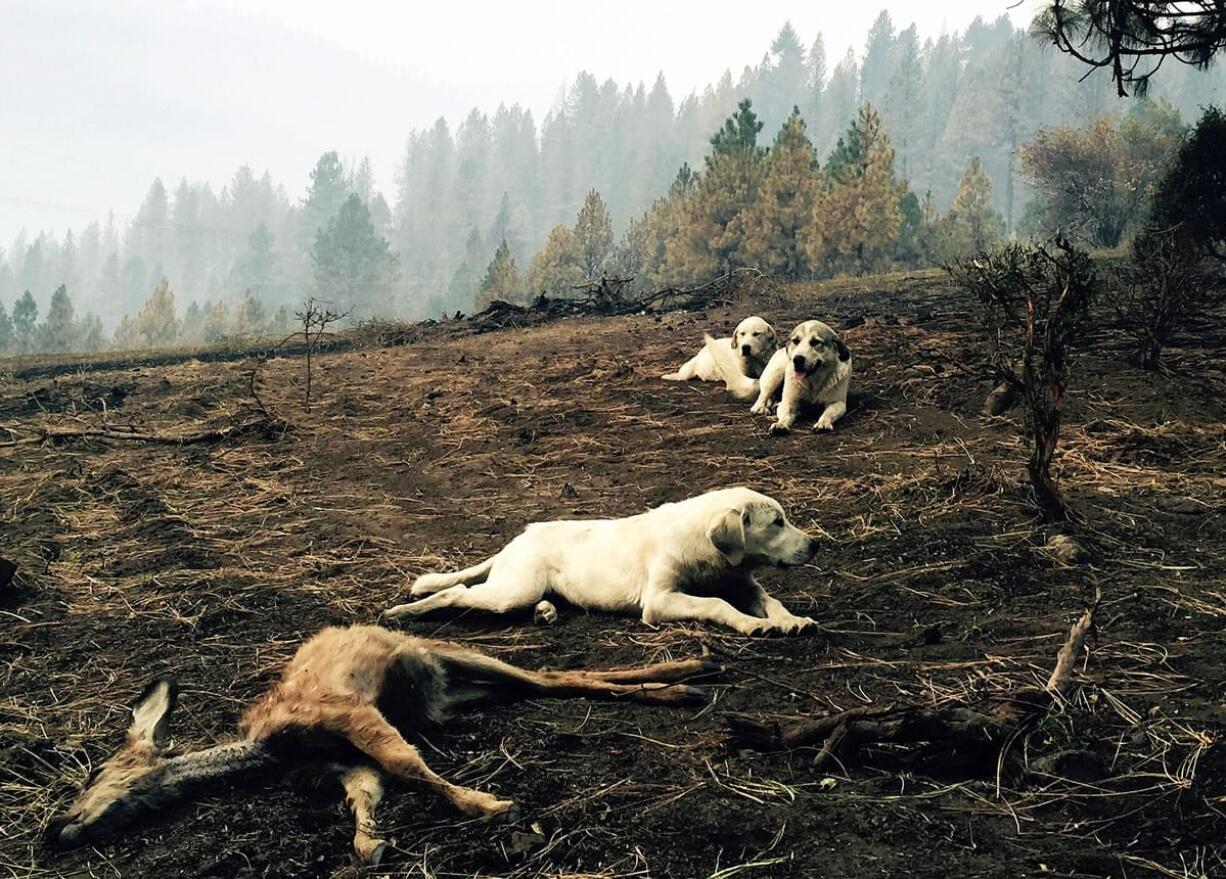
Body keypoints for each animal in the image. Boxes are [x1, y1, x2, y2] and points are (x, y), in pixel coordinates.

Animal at [387, 487, 818, 637]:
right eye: (777, 523)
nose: (815, 545)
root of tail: (517, 541)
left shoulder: (744, 583)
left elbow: (771, 600)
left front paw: (791, 620)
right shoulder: (659, 601)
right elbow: (715, 604)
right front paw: (752, 624)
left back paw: (546, 612)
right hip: (512, 590)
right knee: (457, 591)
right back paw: (403, 613)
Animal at [711, 321, 853, 433]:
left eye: (816, 342)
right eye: (796, 341)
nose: (797, 359)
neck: (813, 380)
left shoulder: (837, 403)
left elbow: (827, 414)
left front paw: (823, 423)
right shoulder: (789, 402)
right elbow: (784, 415)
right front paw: (780, 424)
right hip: (775, 374)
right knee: (763, 395)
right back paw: (761, 407)